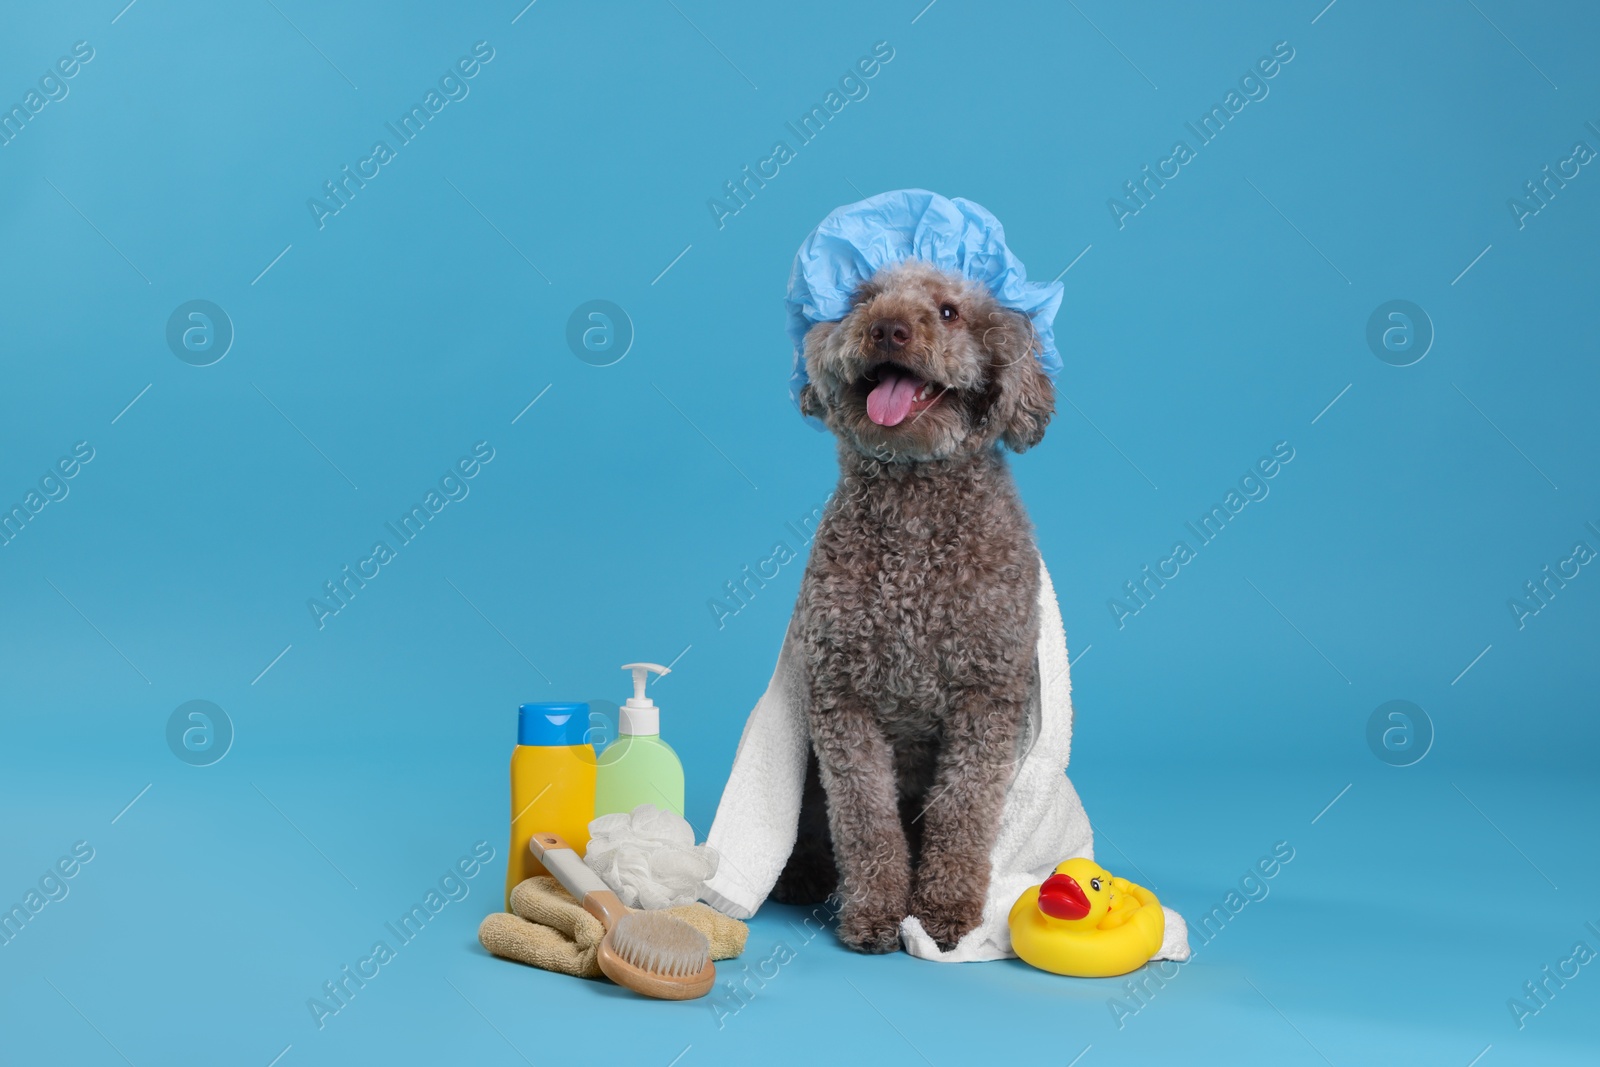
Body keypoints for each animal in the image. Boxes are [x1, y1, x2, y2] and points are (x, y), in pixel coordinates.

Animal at [771, 259, 1049, 953]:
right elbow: (865, 821)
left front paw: (943, 913)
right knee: (812, 822)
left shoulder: (986, 698)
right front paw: (875, 912)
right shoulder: (843, 701)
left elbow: (963, 812)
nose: (888, 328)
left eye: (949, 311)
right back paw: (801, 872)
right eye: (864, 299)